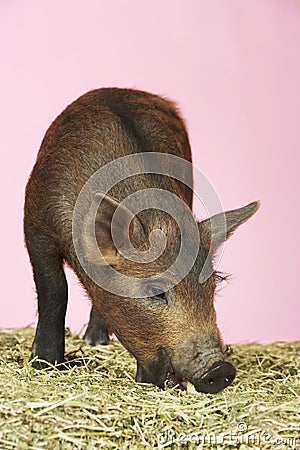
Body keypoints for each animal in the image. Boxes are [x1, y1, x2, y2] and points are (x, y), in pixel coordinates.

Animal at [23, 87, 258, 390]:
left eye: (212, 287)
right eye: (156, 291)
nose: (220, 369)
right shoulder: (36, 228)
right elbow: (54, 291)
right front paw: (42, 364)